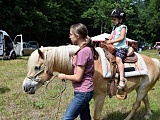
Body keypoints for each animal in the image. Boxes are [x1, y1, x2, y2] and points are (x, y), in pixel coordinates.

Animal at [22, 45, 160, 120]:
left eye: (36, 67)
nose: (25, 87)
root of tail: (154, 61)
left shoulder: (100, 97)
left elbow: (96, 116)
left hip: (142, 89)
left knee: (136, 104)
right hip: (141, 87)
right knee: (145, 99)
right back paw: (148, 114)